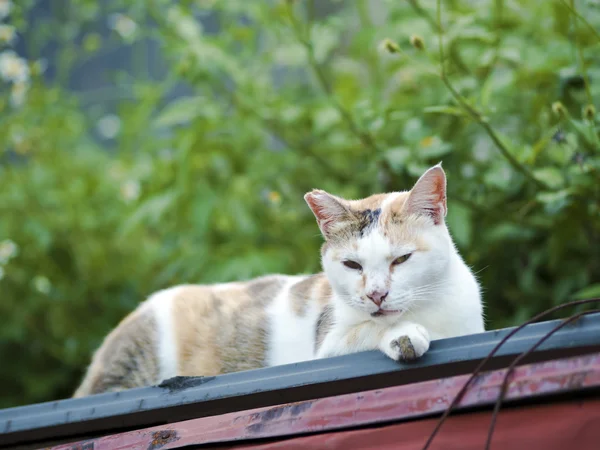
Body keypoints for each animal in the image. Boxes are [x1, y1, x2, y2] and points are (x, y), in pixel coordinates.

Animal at [74, 165, 482, 398]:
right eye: (352, 265)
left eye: (401, 259)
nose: (376, 295)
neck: (430, 310)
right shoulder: (325, 347)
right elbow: (365, 331)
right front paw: (403, 335)